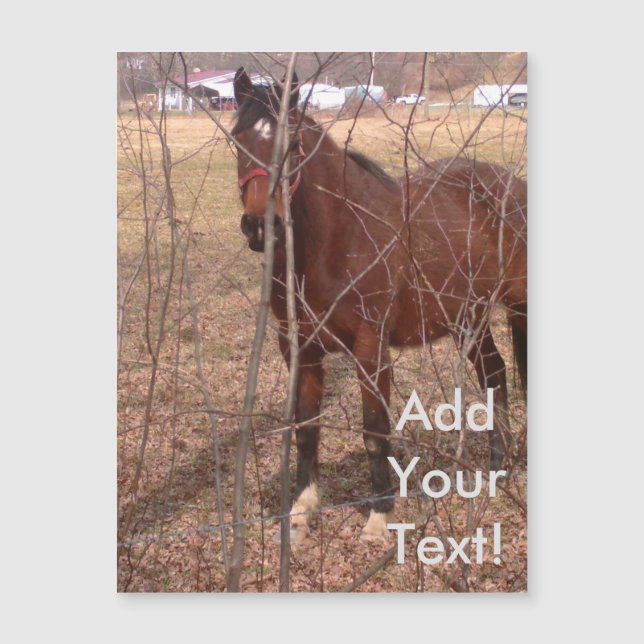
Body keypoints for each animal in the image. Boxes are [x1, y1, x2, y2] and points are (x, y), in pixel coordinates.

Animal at [231, 67, 527, 541]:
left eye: (293, 143)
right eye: (236, 140)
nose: (262, 226)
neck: (339, 236)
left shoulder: (371, 349)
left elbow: (374, 431)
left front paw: (379, 516)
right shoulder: (300, 350)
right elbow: (306, 430)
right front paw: (301, 510)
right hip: (470, 317)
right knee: (494, 375)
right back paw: (496, 468)